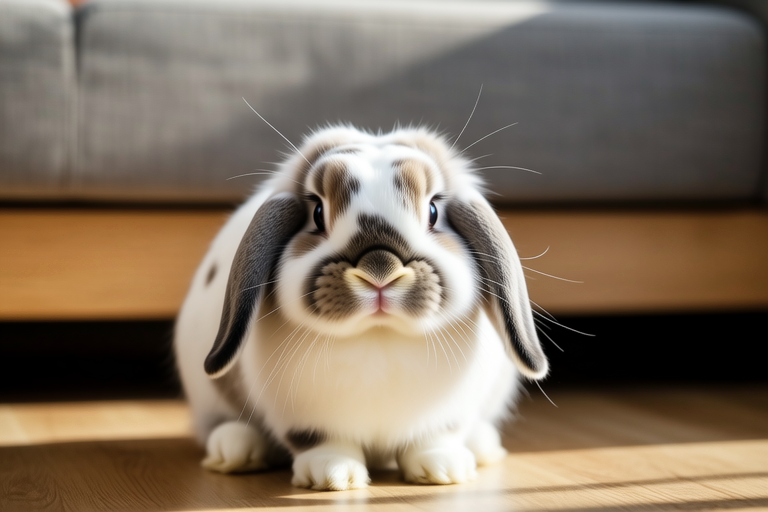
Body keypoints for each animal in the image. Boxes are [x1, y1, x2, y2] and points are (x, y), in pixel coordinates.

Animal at [174, 124, 548, 491]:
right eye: (317, 212)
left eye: (433, 211)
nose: (379, 269)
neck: (378, 337)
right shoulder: (303, 417)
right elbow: (321, 442)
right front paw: (332, 475)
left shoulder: (447, 413)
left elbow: (433, 439)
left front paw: (442, 469)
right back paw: (236, 450)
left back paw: (484, 447)